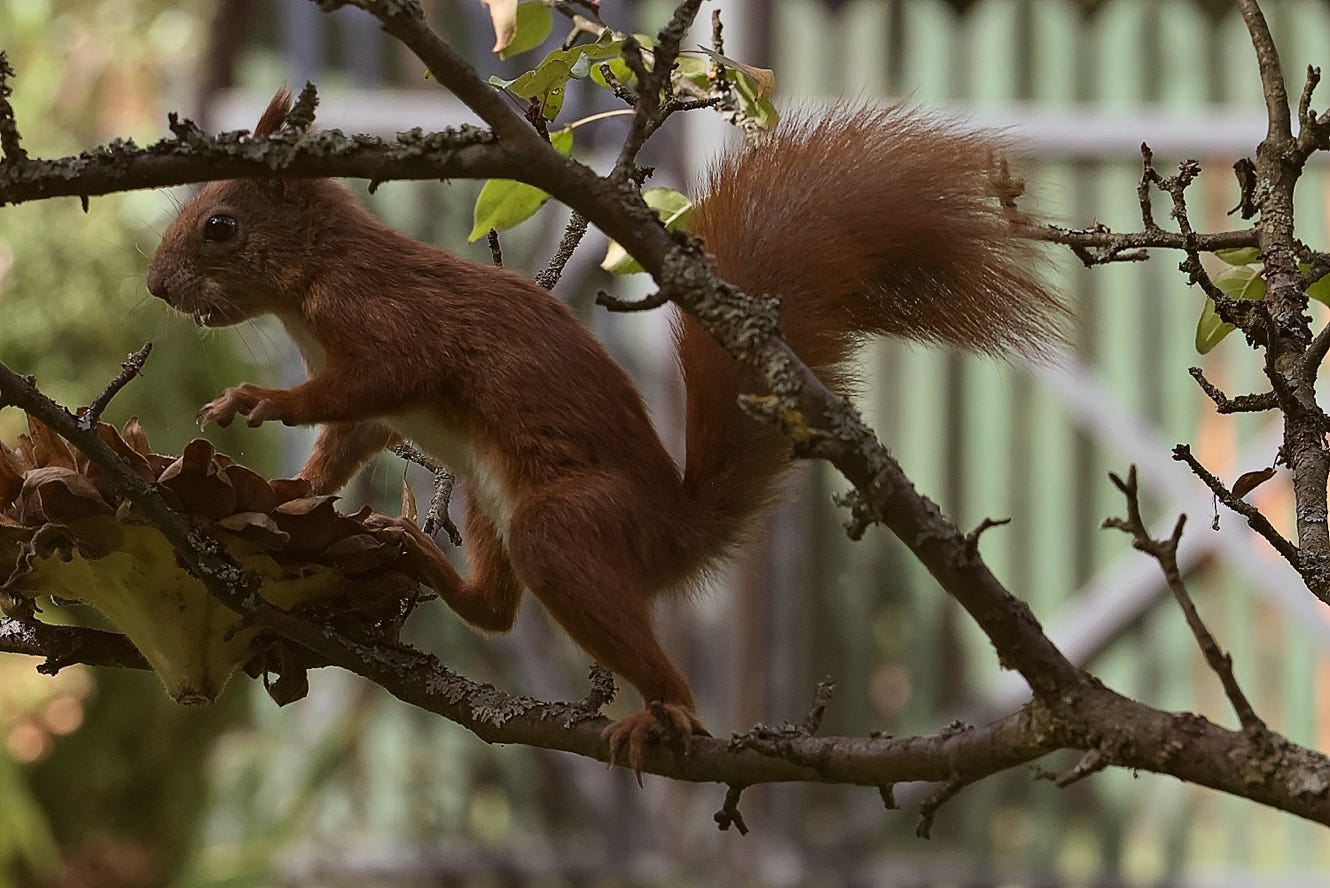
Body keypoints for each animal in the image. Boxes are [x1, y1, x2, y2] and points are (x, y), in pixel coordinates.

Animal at [142, 88, 1058, 771]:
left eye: (220, 225)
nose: (154, 286)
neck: (311, 279)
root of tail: (675, 532)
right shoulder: (365, 413)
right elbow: (343, 447)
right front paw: (286, 494)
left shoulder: (385, 324)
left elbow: (375, 380)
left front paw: (259, 401)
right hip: (488, 498)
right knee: (495, 612)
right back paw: (420, 556)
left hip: (570, 524)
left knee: (586, 610)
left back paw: (667, 710)